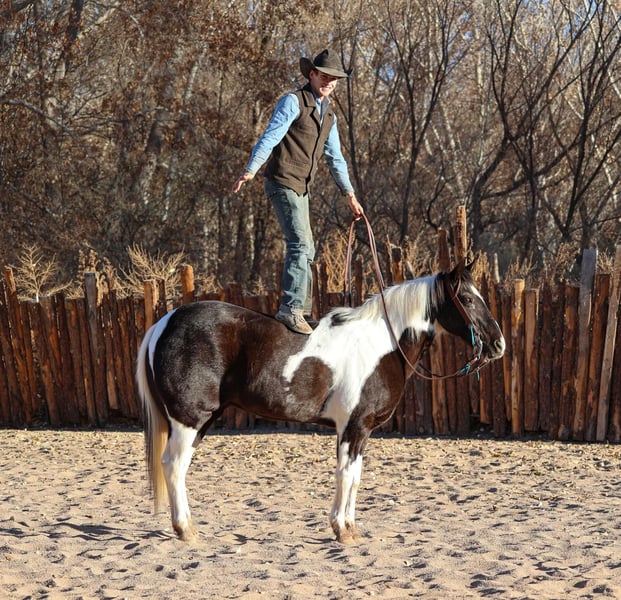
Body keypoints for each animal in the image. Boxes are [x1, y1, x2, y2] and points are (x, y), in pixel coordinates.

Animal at [136, 259, 505, 544]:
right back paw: (186, 530)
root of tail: (163, 323)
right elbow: (344, 475)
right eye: (467, 299)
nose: (498, 344)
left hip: (202, 421)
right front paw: (341, 530)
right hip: (189, 419)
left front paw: (351, 529)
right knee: (174, 466)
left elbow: (355, 476)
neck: (383, 343)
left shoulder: (362, 431)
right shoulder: (352, 427)